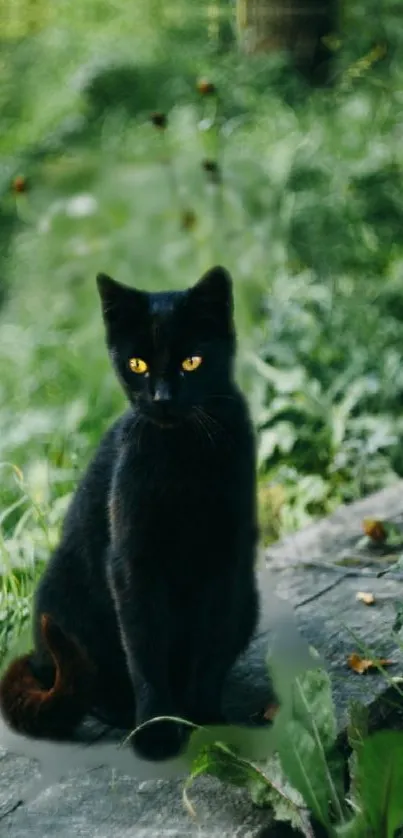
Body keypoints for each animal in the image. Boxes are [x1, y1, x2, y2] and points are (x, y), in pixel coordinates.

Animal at [0, 266, 258, 764]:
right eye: (137, 364)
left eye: (192, 361)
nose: (161, 398)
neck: (183, 457)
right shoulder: (133, 563)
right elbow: (145, 650)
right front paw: (157, 730)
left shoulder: (227, 562)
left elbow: (210, 649)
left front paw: (206, 723)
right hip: (63, 599)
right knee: (88, 683)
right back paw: (121, 712)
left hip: (249, 600)